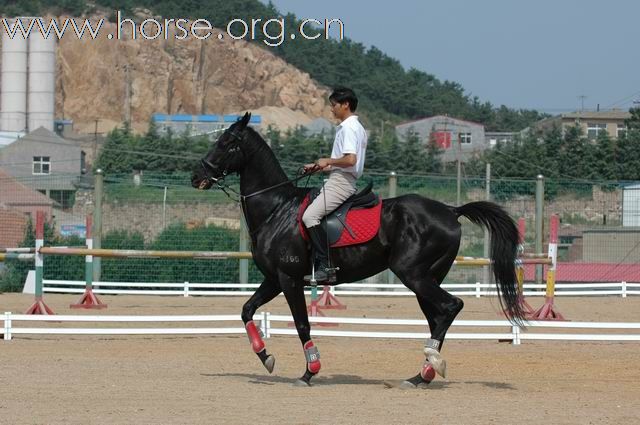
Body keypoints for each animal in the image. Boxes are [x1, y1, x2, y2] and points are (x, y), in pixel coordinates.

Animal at [191, 112, 524, 388]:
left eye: (225, 142)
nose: (197, 177)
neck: (276, 209)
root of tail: (451, 210)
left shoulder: (289, 278)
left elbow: (302, 324)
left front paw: (310, 371)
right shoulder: (274, 279)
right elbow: (247, 310)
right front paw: (266, 357)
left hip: (413, 274)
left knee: (451, 307)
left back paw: (429, 368)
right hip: (427, 278)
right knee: (438, 316)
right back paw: (423, 374)